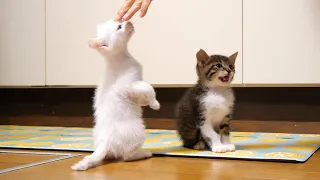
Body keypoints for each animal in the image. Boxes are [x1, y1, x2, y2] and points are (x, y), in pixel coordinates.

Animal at [70, 19, 159, 172]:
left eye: (119, 22)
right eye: (119, 26)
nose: (128, 21)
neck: (122, 58)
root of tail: (106, 140)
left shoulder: (134, 90)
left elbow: (144, 93)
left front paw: (146, 102)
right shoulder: (130, 86)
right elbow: (148, 88)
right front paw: (154, 104)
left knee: (109, 155)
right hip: (138, 130)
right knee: (127, 157)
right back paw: (144, 153)